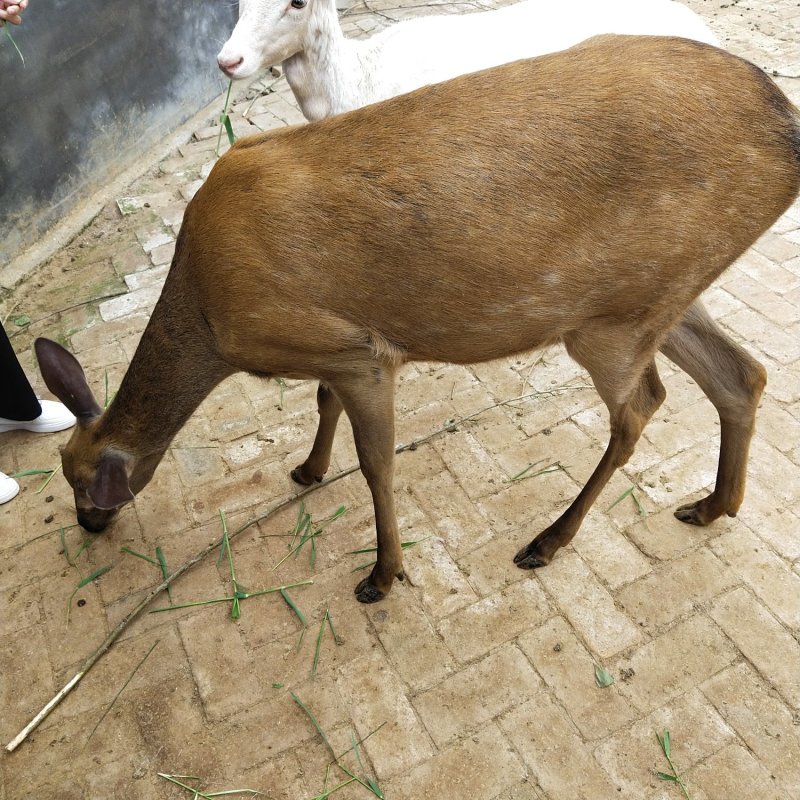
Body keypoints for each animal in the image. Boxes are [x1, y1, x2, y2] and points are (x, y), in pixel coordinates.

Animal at [37, 36, 800, 604]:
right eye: (66, 470)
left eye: (81, 482)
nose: (88, 525)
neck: (210, 316)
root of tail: (788, 132)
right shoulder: (333, 345)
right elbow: (323, 404)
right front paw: (308, 469)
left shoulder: (357, 349)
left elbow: (376, 463)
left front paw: (382, 573)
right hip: (661, 291)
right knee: (743, 373)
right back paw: (712, 504)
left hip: (608, 321)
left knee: (643, 405)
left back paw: (548, 540)